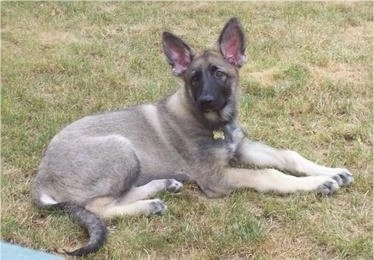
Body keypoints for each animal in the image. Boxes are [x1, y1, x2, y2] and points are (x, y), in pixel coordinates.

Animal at [32, 18, 354, 256]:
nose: (206, 101)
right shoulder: (216, 177)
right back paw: (148, 205)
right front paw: (320, 182)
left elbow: (289, 155)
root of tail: (41, 177)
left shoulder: (241, 147)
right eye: (194, 78)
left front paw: (331, 171)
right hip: (121, 148)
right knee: (98, 207)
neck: (216, 124)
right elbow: (269, 174)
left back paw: (163, 187)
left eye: (220, 74)